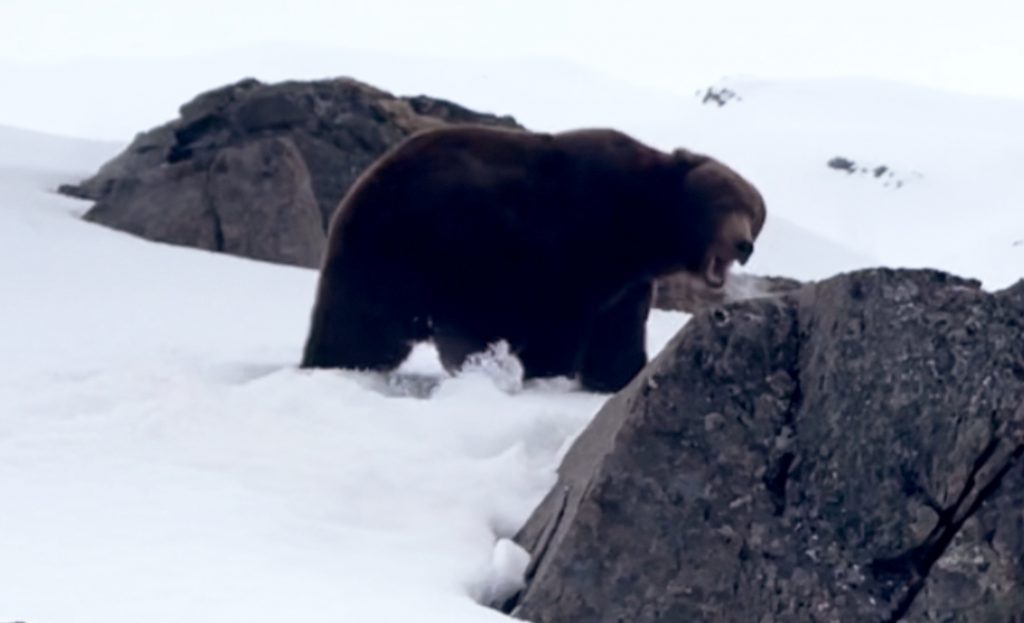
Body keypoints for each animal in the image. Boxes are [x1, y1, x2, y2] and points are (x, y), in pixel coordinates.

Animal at [299, 123, 765, 391]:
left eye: (754, 213)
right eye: (724, 202)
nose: (744, 244)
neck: (644, 224)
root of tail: (366, 181)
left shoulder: (628, 280)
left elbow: (618, 331)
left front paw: (618, 377)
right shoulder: (574, 240)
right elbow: (560, 325)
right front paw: (552, 374)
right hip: (426, 246)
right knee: (368, 324)